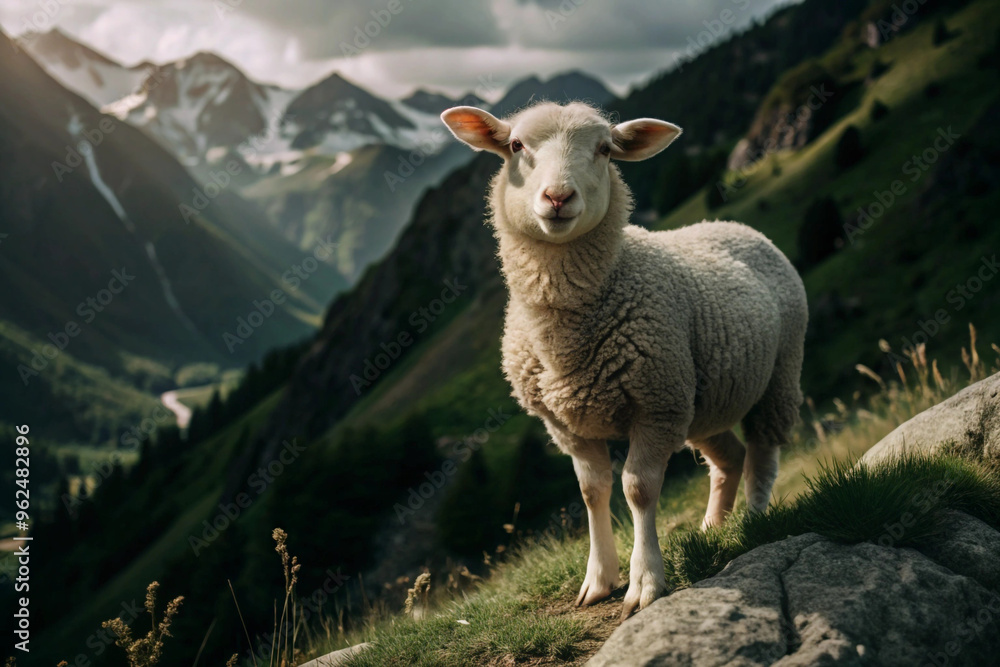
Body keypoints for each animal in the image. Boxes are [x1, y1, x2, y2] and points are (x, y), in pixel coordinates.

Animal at [441, 101, 807, 619]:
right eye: (515, 145)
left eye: (604, 150)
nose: (558, 197)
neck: (566, 341)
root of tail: (735, 226)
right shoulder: (568, 424)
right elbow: (593, 492)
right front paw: (599, 581)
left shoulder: (654, 406)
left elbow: (638, 489)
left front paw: (646, 583)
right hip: (699, 400)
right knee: (729, 458)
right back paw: (713, 528)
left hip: (777, 371)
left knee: (763, 451)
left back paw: (754, 519)